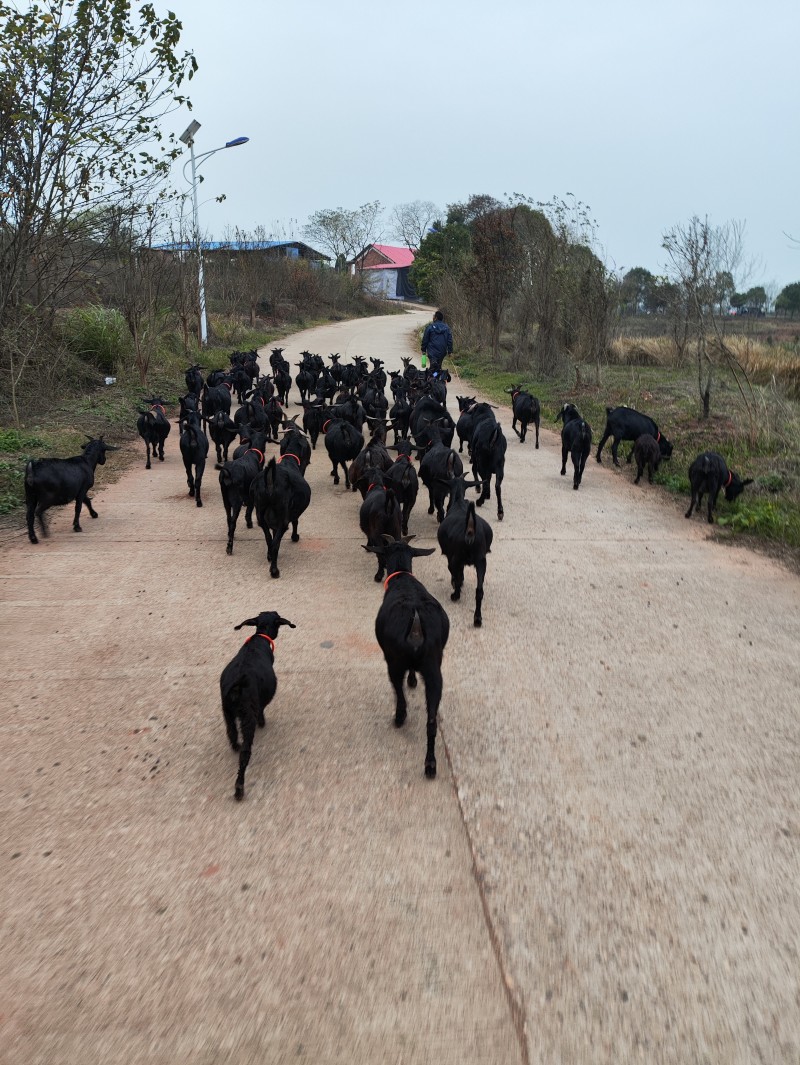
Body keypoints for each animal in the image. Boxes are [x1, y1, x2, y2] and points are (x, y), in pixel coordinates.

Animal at [217, 609, 296, 800]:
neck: (260, 638)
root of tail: (237, 685)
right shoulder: (259, 705)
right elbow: (262, 710)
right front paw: (263, 722)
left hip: (227, 713)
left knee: (231, 733)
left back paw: (235, 746)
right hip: (247, 718)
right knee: (245, 753)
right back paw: (239, 788)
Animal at [368, 536, 451, 779]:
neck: (403, 578)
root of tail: (415, 622)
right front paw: (414, 680)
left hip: (394, 662)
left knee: (398, 689)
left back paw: (399, 717)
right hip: (433, 671)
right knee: (431, 721)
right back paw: (430, 764)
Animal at [438, 474, 494, 621]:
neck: (458, 502)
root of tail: (470, 531)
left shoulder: (451, 557)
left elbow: (457, 576)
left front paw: (456, 584)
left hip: (455, 558)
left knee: (456, 577)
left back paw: (455, 595)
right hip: (481, 562)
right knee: (479, 591)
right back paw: (477, 618)